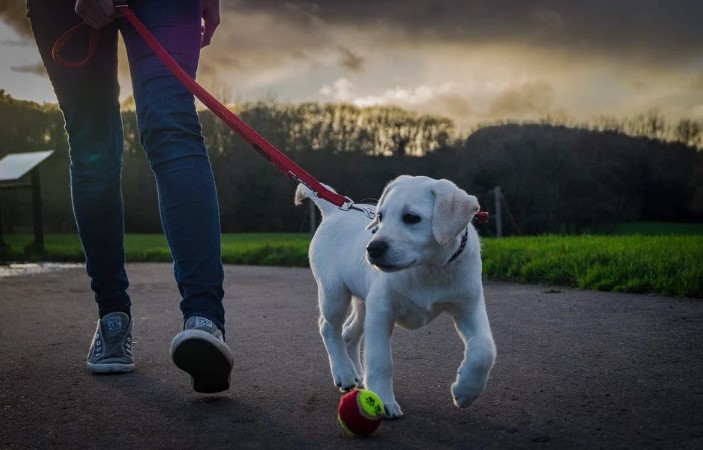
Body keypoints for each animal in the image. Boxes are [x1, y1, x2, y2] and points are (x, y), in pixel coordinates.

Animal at [294, 175, 498, 418]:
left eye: (411, 218)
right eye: (381, 216)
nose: (372, 249)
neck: (429, 269)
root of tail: (334, 212)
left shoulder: (469, 309)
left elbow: (484, 350)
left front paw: (466, 392)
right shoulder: (381, 312)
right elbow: (380, 360)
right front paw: (383, 400)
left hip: (364, 304)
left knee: (349, 333)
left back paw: (357, 375)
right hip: (335, 294)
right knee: (328, 328)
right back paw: (344, 372)